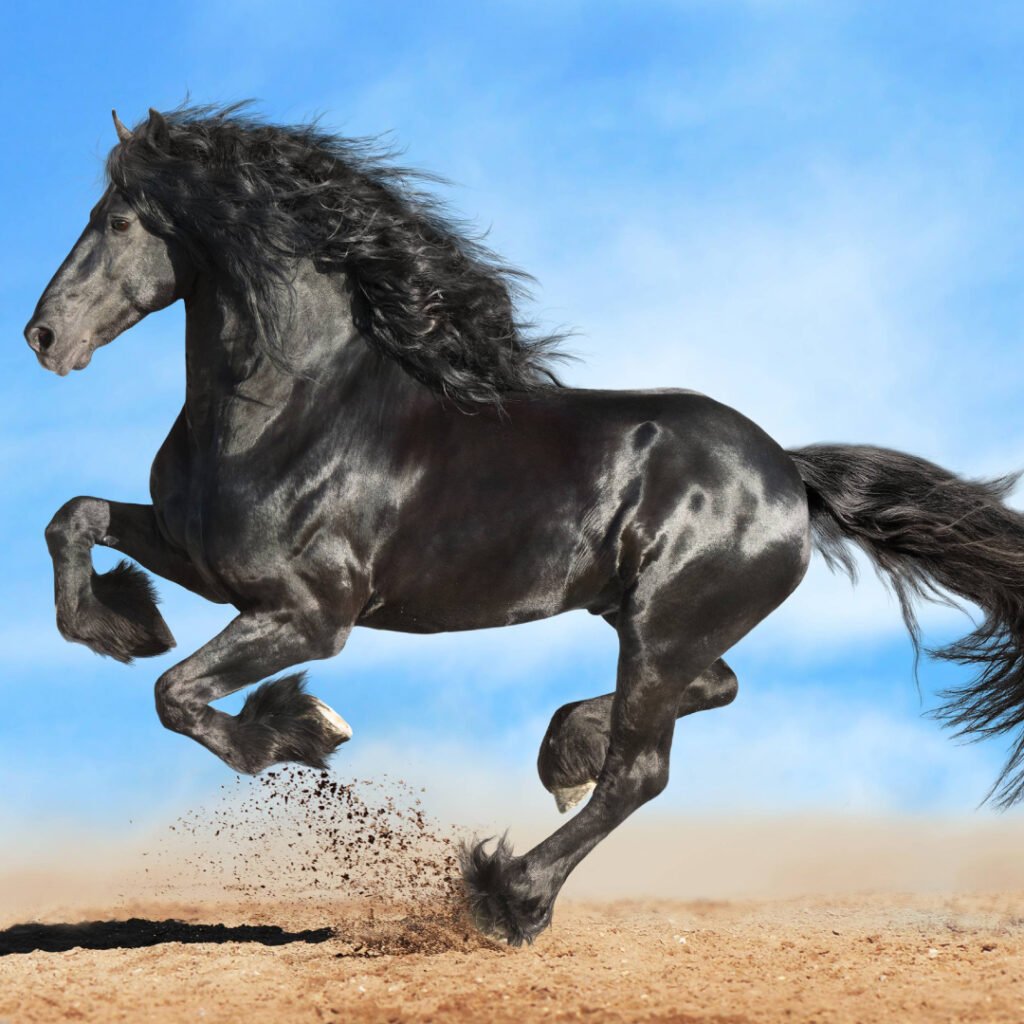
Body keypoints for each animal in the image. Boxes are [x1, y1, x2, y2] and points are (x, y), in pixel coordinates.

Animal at [24, 104, 1024, 945]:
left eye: (118, 220)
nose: (43, 337)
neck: (291, 407)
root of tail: (788, 471)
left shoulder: (310, 614)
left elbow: (177, 697)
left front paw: (303, 728)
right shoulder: (208, 560)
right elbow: (75, 521)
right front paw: (125, 625)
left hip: (665, 624)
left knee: (642, 770)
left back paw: (510, 895)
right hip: (649, 620)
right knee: (704, 693)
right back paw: (564, 752)